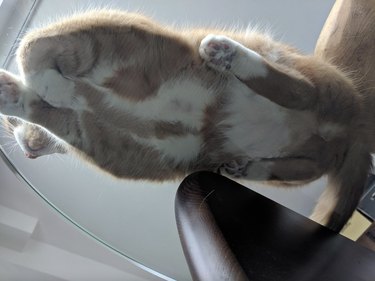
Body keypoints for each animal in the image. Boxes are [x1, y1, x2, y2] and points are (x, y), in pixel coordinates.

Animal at [0, 10, 372, 230]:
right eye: (10, 129)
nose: (29, 153)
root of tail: (354, 127)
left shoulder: (106, 29)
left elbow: (30, 46)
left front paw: (56, 87)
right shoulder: (101, 140)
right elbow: (39, 107)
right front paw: (23, 96)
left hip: (294, 66)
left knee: (301, 91)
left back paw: (227, 54)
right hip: (299, 166)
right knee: (305, 166)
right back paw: (247, 167)